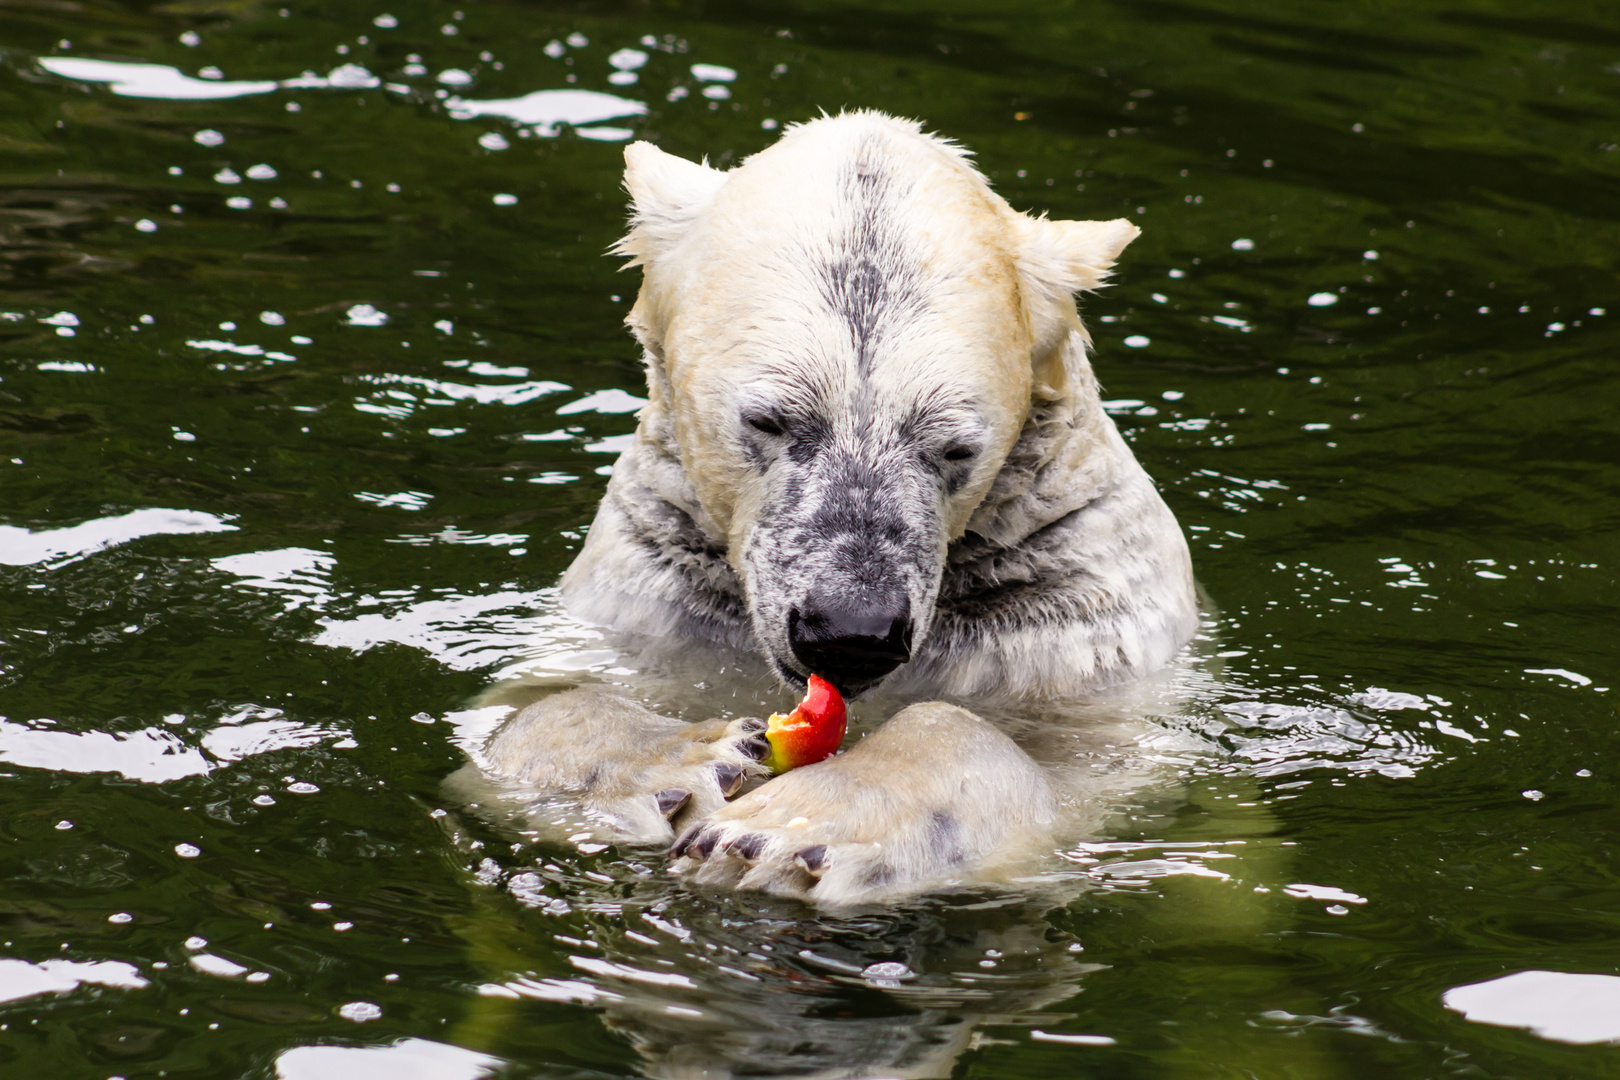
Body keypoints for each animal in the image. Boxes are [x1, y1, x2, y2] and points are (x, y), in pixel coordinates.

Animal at [479, 111, 1205, 906]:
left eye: (956, 446)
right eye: (768, 418)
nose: (852, 633)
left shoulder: (1075, 634)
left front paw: (787, 828)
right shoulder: (655, 603)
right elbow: (529, 703)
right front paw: (678, 759)